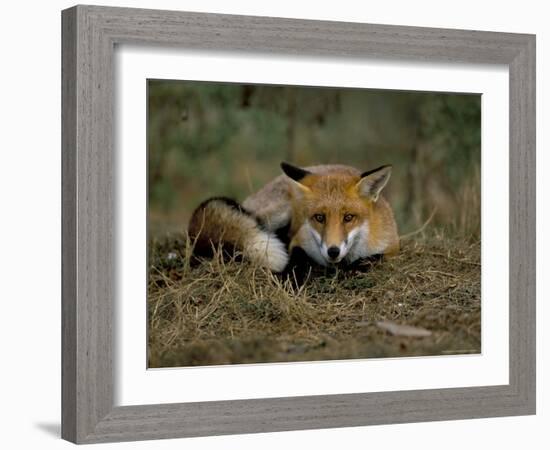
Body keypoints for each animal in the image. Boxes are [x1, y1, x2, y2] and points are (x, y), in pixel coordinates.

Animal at [190, 163, 402, 272]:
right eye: (319, 217)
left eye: (349, 217)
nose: (332, 251)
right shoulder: (298, 242)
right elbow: (299, 256)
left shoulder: (391, 247)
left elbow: (373, 258)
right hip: (278, 213)